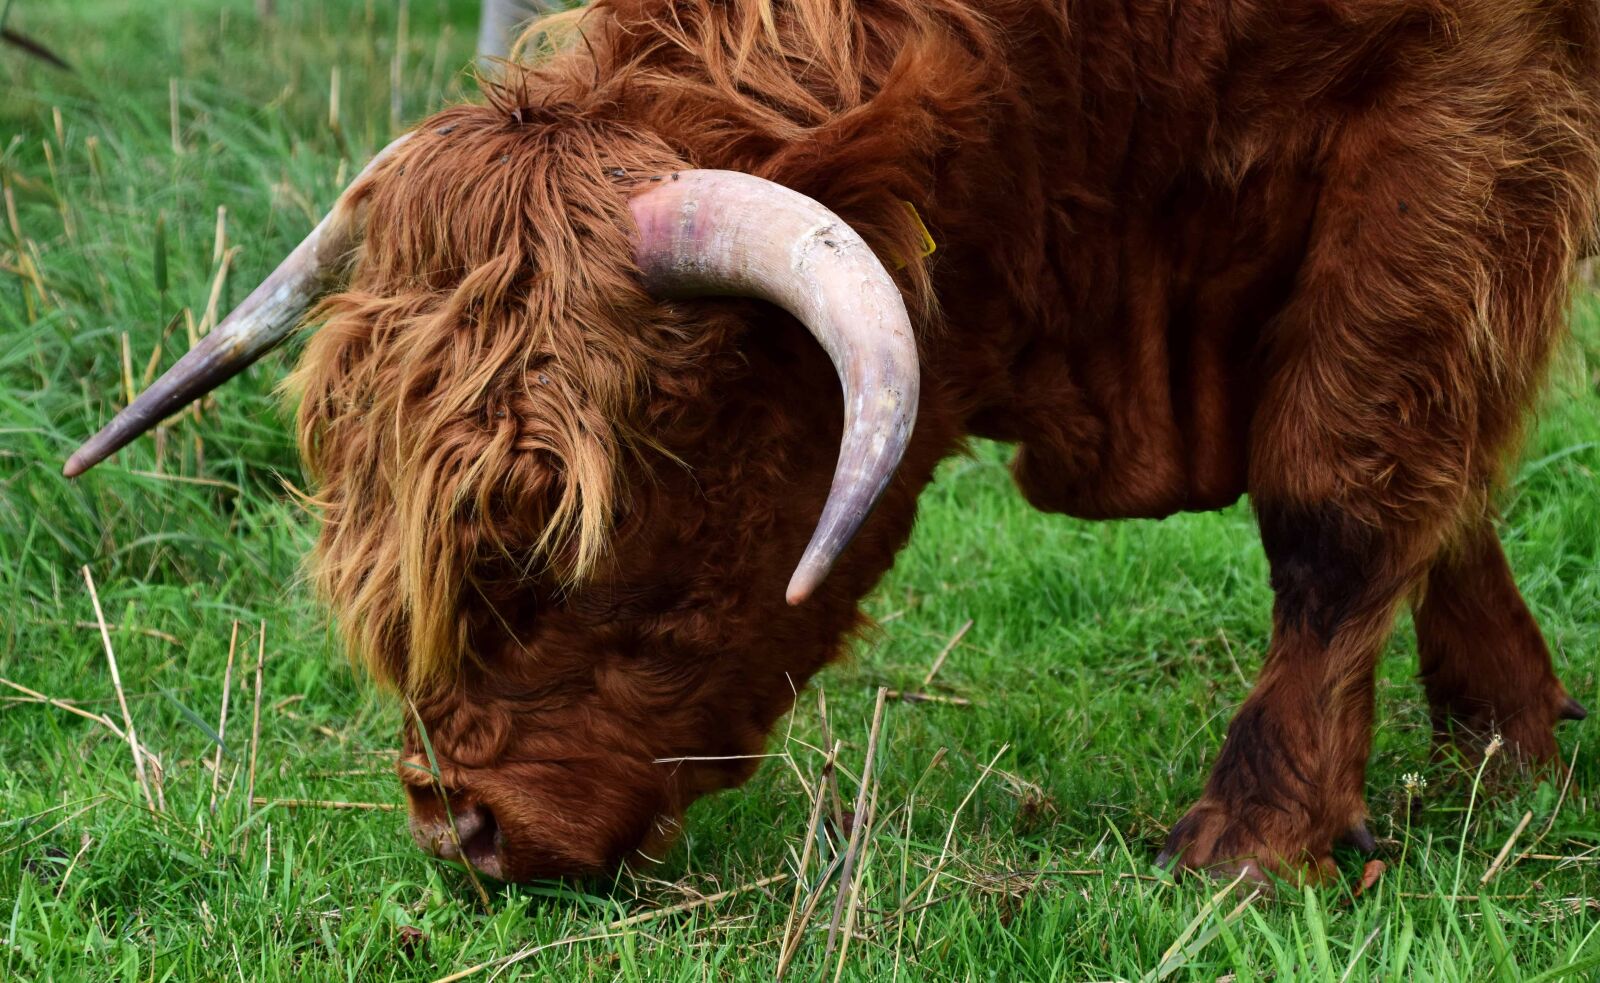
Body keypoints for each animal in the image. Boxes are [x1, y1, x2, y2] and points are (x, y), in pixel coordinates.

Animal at [64, 0, 1600, 884]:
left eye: (547, 524)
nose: (459, 829)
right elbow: (1441, 463)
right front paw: (1505, 733)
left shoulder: (1468, 105)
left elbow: (1341, 480)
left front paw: (1260, 838)